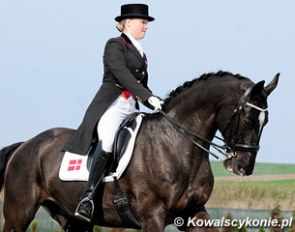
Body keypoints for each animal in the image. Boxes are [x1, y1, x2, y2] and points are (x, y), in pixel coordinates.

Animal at [0, 71, 280, 231]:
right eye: (247, 120)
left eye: (266, 121)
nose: (244, 167)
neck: (177, 145)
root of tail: (26, 144)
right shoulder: (152, 217)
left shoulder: (194, 213)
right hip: (19, 213)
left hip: (72, 219)